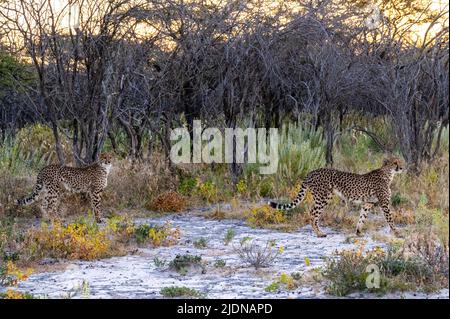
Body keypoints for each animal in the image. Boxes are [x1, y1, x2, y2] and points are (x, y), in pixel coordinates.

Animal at [268, 158, 406, 238]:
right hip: (323, 197)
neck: (388, 174)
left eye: (400, 161)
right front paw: (397, 233)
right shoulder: (384, 203)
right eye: (395, 163)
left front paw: (358, 232)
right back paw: (320, 233)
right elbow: (390, 219)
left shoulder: (367, 203)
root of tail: (311, 172)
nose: (402, 167)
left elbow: (362, 218)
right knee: (312, 214)